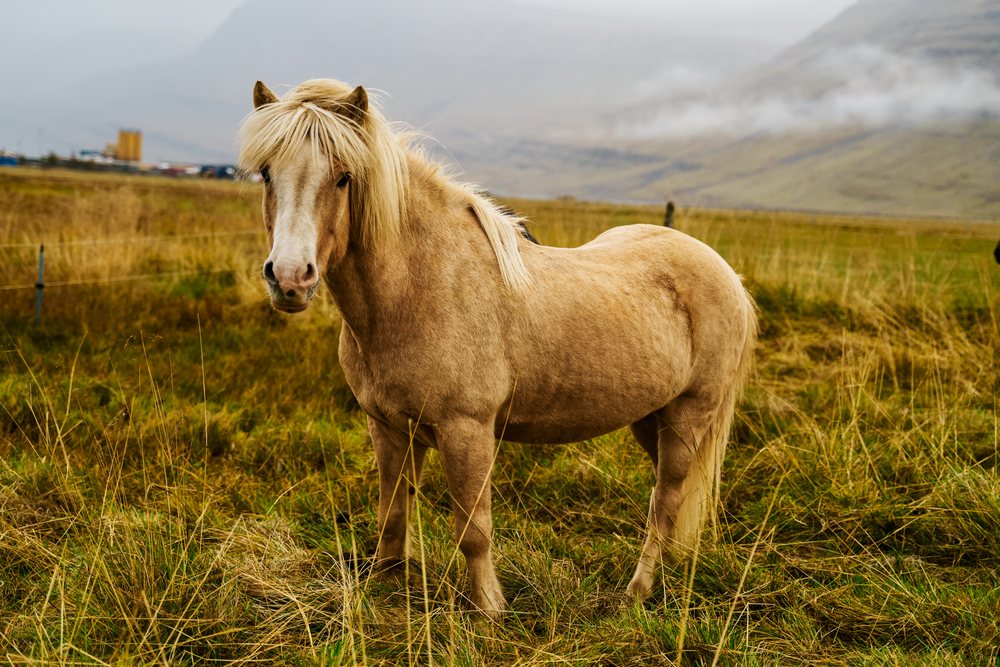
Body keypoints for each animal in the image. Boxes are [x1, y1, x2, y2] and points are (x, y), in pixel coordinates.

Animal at [238, 79, 757, 619]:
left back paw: (636, 593)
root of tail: (726, 274)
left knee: (665, 502)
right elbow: (393, 514)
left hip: (687, 417)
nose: (290, 278)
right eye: (266, 173)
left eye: (343, 178)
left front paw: (489, 610)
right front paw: (387, 586)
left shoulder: (466, 430)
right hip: (650, 419)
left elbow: (474, 529)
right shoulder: (388, 428)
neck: (418, 289)